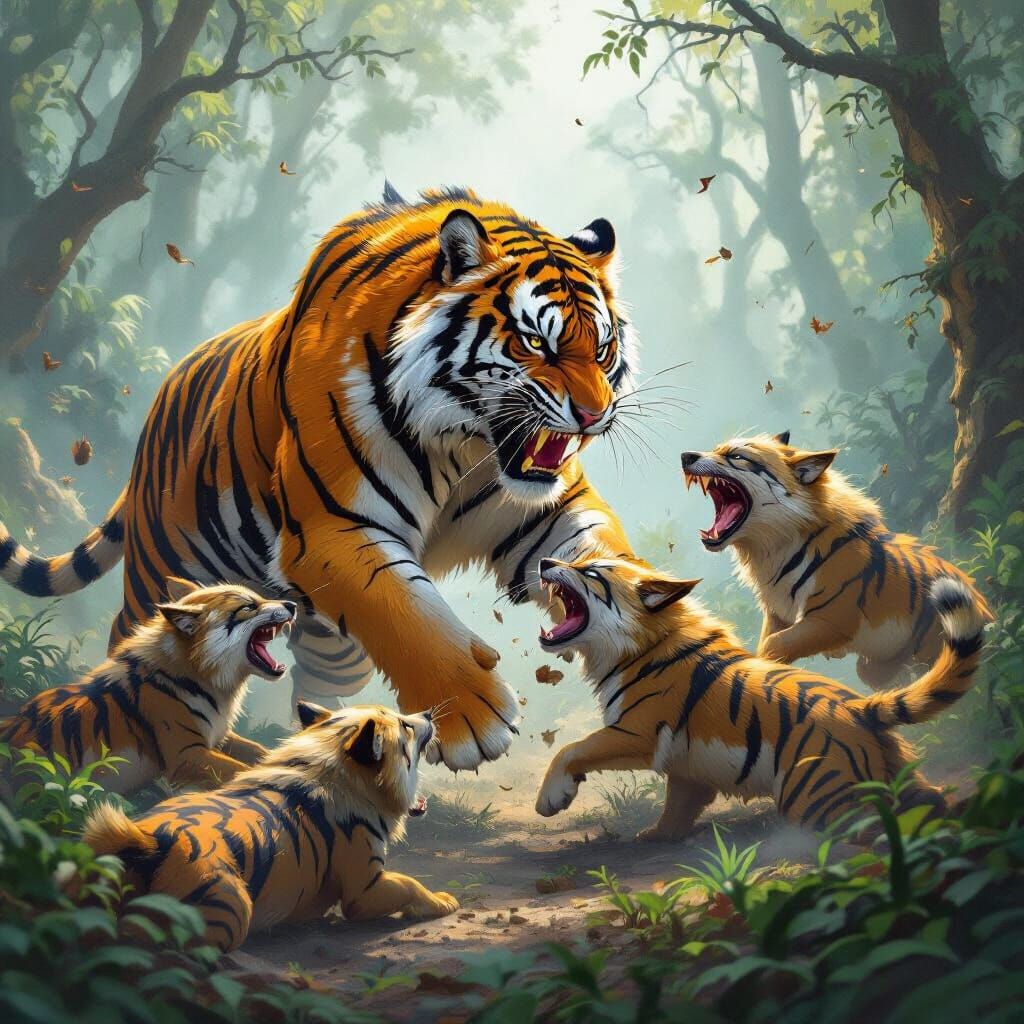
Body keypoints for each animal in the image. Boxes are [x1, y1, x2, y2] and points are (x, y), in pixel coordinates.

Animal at [0, 578, 294, 793]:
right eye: (249, 606)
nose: (292, 604)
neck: (202, 677)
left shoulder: (218, 735)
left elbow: (260, 751)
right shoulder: (186, 754)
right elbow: (243, 770)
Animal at [84, 702, 458, 952]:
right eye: (405, 726)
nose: (427, 714)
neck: (329, 770)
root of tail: (144, 841)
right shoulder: (366, 889)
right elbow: (410, 884)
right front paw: (444, 901)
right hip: (233, 908)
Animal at [532, 555, 987, 839]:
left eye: (591, 572)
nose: (545, 563)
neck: (641, 643)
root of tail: (858, 706)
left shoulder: (636, 732)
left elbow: (573, 748)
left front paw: (552, 799)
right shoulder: (685, 764)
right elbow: (678, 804)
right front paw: (657, 836)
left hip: (817, 796)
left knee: (871, 831)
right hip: (895, 775)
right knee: (930, 803)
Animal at [679, 431, 993, 689]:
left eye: (736, 456)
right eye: (716, 449)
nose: (686, 456)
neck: (773, 549)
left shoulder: (829, 620)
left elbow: (774, 646)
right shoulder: (778, 614)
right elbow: (767, 641)